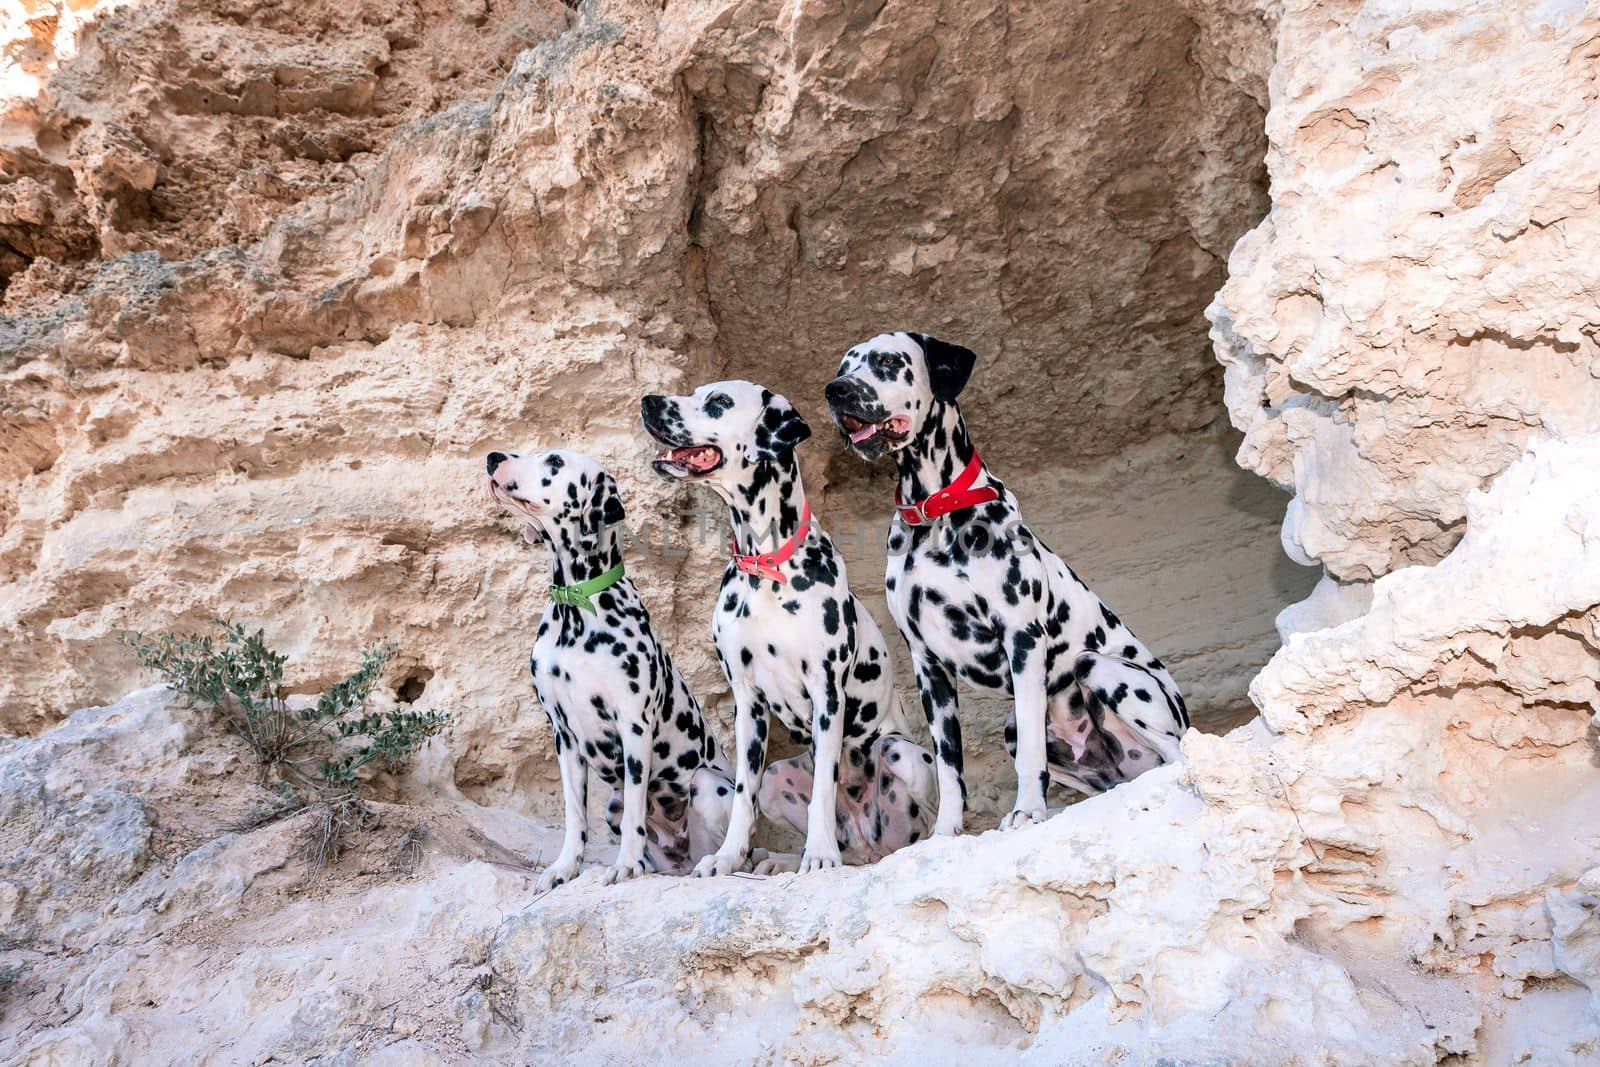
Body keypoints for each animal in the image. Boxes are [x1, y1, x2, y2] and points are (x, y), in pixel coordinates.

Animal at [636, 382, 934, 876]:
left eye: (718, 401)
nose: (649, 402)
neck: (766, 569)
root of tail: (868, 847)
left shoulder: (827, 694)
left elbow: (824, 790)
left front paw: (819, 853)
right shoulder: (747, 702)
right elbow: (743, 796)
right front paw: (727, 857)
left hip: (901, 754)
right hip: (779, 776)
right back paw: (778, 860)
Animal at [825, 334, 1190, 831]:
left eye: (886, 361)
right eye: (845, 366)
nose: (835, 391)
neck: (936, 515)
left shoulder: (1023, 639)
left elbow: (1031, 758)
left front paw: (1026, 810)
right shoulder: (928, 667)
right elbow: (949, 767)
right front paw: (946, 831)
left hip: (1101, 669)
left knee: (1176, 753)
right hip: (1012, 727)